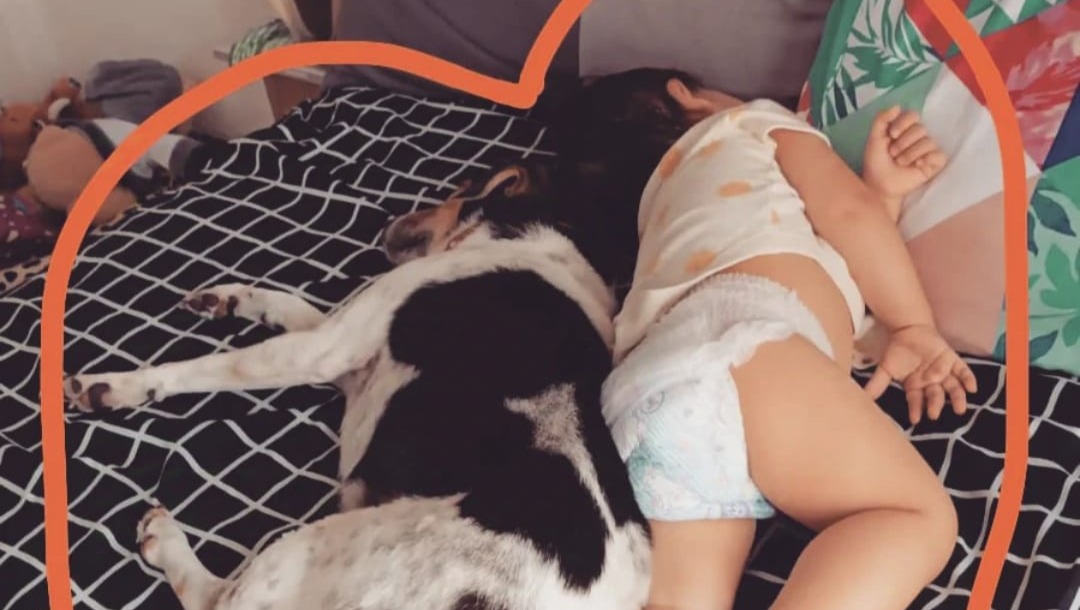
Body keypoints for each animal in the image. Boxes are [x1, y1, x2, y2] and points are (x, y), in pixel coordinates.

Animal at [63, 161, 651, 610]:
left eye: (461, 185)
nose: (387, 222)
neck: (556, 241)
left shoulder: (324, 350)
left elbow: (207, 368)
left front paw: (111, 385)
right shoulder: (349, 359)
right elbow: (286, 305)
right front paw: (229, 298)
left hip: (312, 546)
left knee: (215, 599)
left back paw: (165, 541)